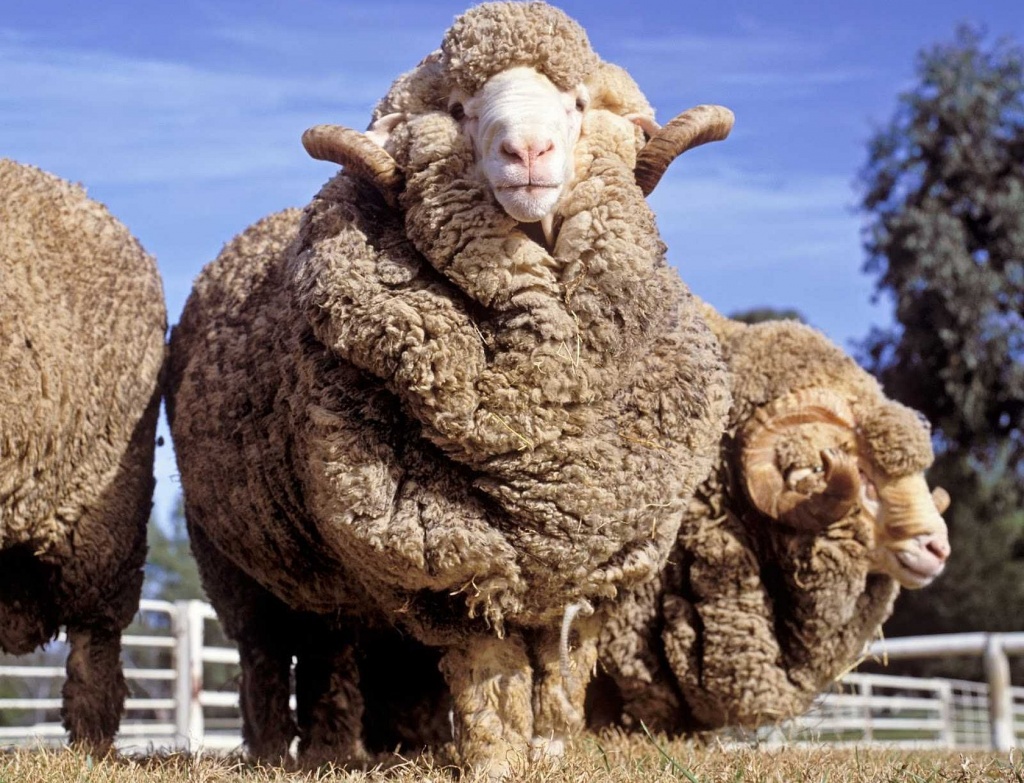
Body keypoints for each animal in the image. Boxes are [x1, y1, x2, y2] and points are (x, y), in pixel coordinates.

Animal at [166, 2, 734, 775]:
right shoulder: (445, 558)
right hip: (231, 559)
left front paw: (552, 750)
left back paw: (331, 751)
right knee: (262, 654)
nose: (527, 151)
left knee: (328, 650)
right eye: (462, 109)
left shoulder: (600, 567)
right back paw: (272, 752)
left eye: (577, 103)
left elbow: (561, 672)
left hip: (325, 573)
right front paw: (497, 759)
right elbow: (490, 670)